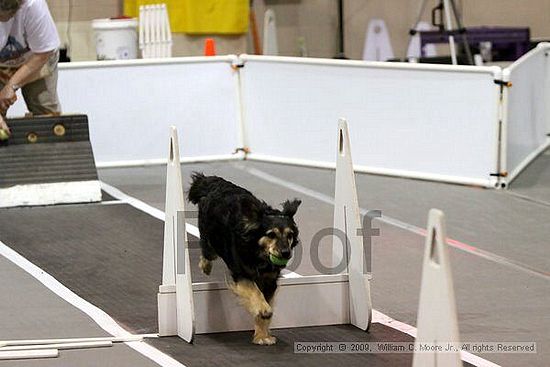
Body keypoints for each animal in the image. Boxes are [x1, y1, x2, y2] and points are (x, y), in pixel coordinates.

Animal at [189, 172, 302, 344]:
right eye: (271, 235)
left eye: (290, 235)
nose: (285, 253)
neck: (258, 253)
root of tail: (215, 182)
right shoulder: (242, 274)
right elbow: (255, 292)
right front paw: (263, 309)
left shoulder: (270, 281)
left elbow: (265, 304)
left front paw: (262, 335)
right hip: (210, 239)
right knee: (207, 251)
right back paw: (205, 267)